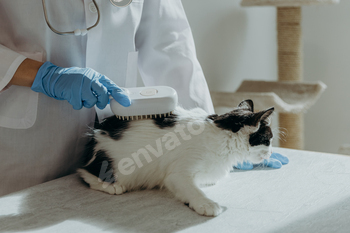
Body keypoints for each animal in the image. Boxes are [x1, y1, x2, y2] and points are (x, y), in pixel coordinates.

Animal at [78, 99, 274, 217]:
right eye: (269, 139)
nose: (271, 152)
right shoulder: (178, 175)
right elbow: (193, 190)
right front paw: (206, 203)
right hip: (117, 166)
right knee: (83, 172)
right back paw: (111, 186)